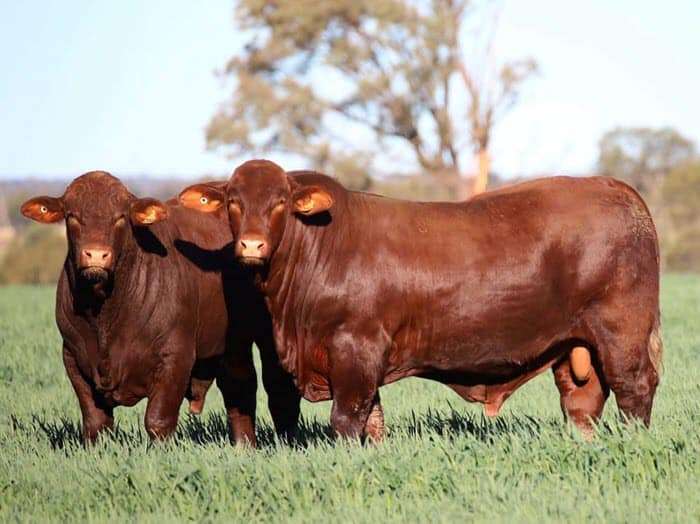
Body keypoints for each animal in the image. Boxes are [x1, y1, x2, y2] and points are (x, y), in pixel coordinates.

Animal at [21, 171, 300, 445]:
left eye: (120, 218)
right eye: (72, 217)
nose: (96, 255)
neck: (105, 315)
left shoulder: (175, 357)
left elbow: (158, 420)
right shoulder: (73, 357)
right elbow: (96, 423)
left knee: (276, 389)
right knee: (238, 385)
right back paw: (243, 446)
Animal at [178, 159, 662, 441]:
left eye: (280, 202)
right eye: (233, 201)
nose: (251, 245)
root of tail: (617, 188)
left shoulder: (356, 347)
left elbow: (347, 417)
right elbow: (372, 420)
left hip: (621, 333)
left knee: (635, 388)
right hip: (576, 346)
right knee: (583, 401)